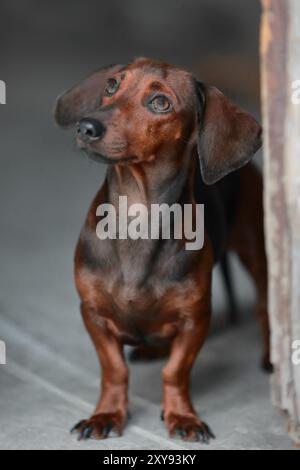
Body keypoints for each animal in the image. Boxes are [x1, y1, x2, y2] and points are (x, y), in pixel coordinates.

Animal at [54, 57, 270, 442]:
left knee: (264, 304)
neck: (137, 218)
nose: (86, 126)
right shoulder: (92, 313)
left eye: (160, 102)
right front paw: (106, 414)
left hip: (255, 248)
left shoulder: (195, 320)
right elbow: (114, 369)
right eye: (111, 85)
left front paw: (182, 415)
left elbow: (175, 371)